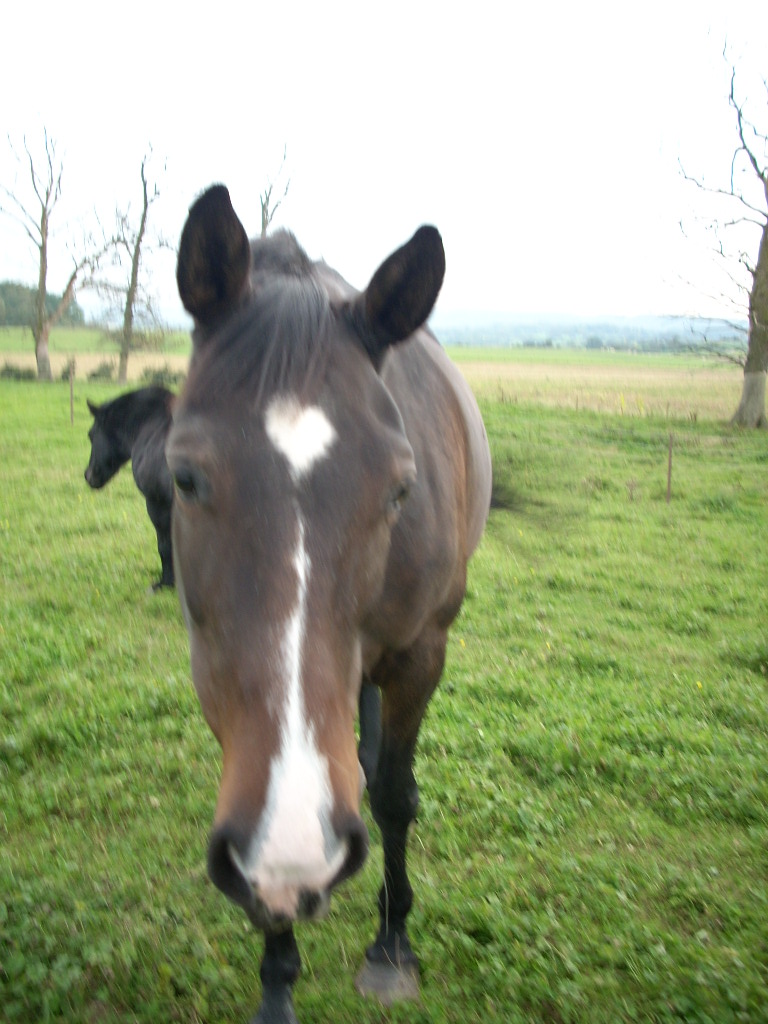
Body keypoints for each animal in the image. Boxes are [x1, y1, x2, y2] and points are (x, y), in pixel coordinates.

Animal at [167, 186, 493, 1024]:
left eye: (400, 489)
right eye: (184, 477)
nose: (298, 848)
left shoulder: (421, 654)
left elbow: (396, 797)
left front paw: (392, 945)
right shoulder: (217, 678)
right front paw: (278, 980)